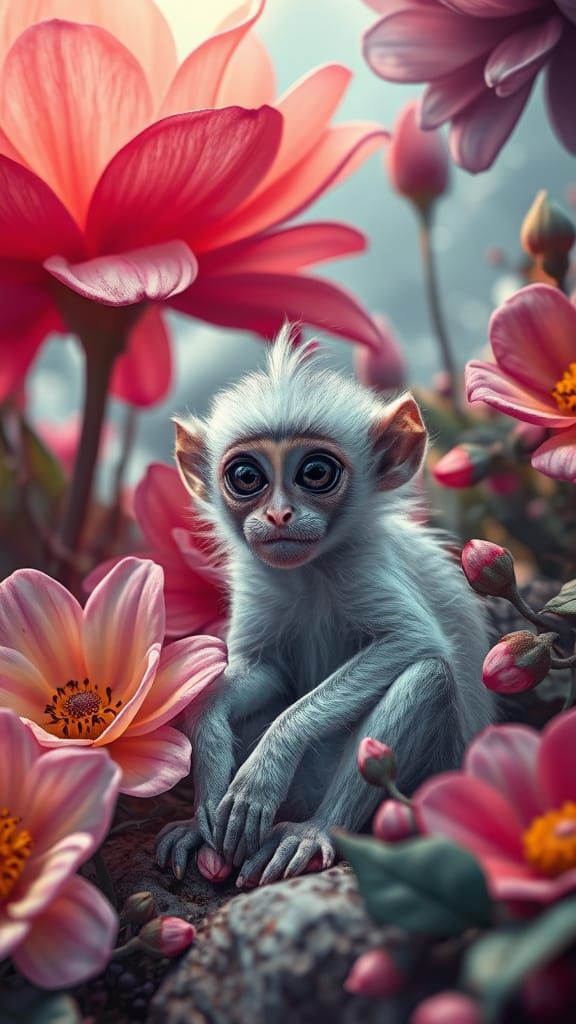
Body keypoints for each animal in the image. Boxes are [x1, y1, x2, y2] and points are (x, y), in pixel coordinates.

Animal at [156, 327, 494, 888]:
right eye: (246, 477)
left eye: (315, 471)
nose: (278, 514)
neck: (308, 574)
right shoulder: (258, 586)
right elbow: (256, 675)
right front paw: (208, 755)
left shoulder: (366, 567)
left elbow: (411, 640)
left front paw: (262, 772)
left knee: (427, 678)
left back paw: (313, 830)